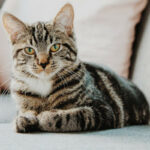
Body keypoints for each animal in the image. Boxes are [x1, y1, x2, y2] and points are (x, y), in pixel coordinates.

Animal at [2, 3, 149, 132]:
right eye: (29, 50)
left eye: (55, 47)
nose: (43, 63)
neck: (43, 85)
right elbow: (22, 112)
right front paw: (23, 118)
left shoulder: (103, 110)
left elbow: (72, 115)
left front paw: (45, 116)